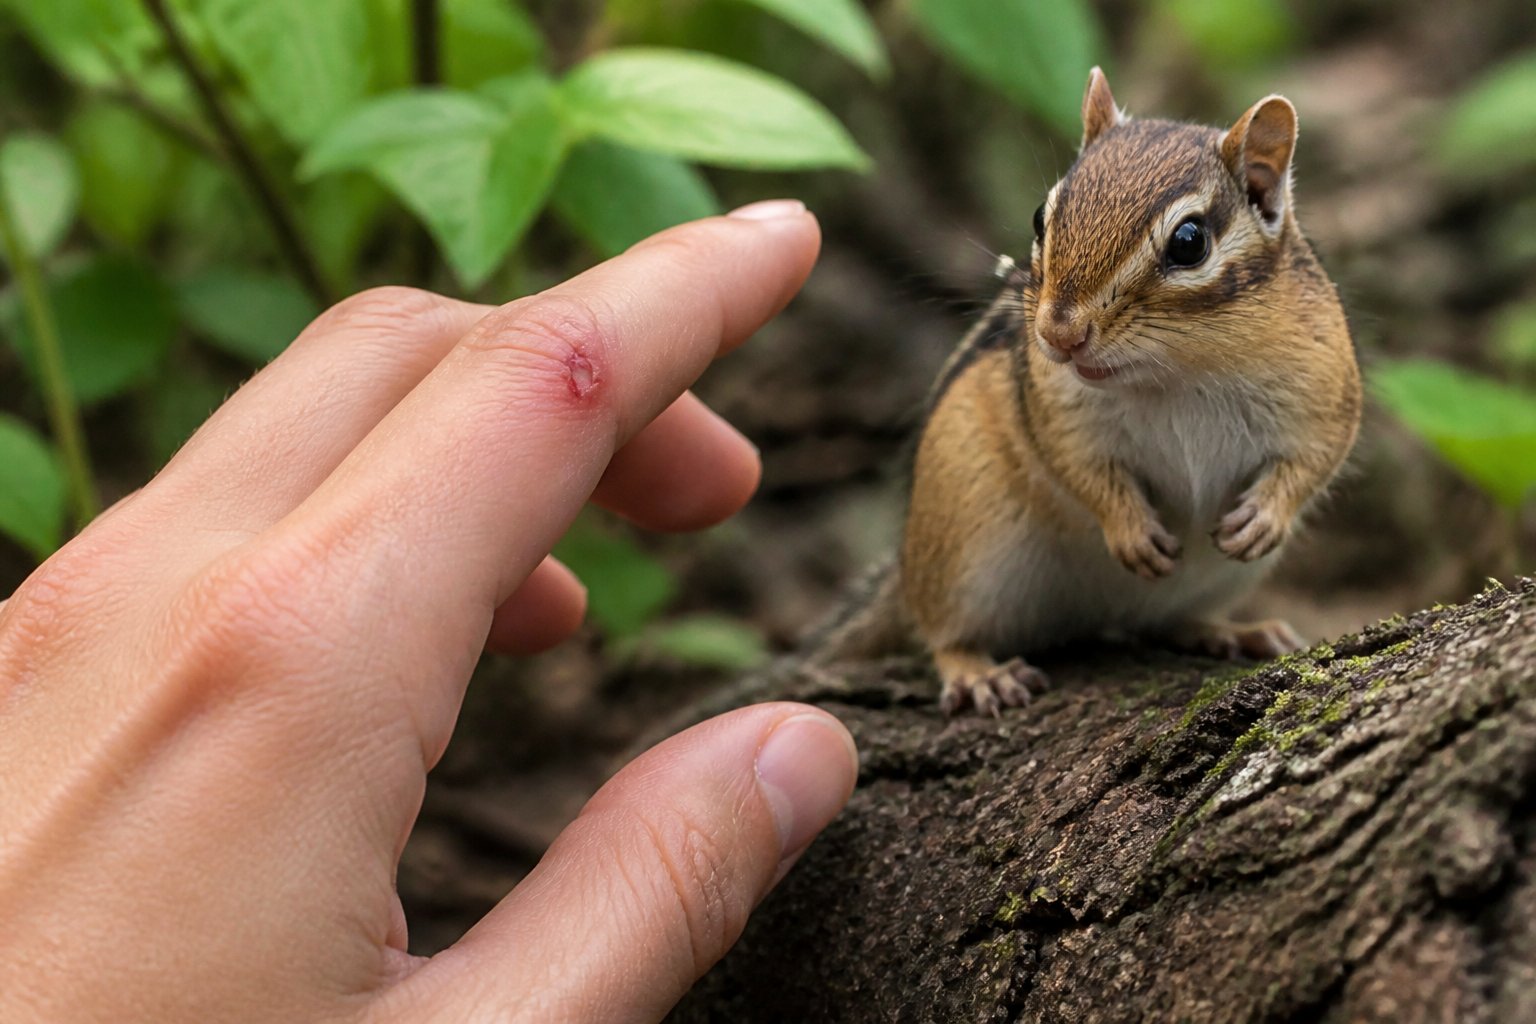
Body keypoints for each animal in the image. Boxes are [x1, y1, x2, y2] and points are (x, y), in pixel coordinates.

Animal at [807, 68, 1362, 716]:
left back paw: (1234, 631)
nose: (1058, 333)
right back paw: (977, 672)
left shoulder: (1325, 387)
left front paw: (1265, 517)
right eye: (1038, 218)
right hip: (963, 545)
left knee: (1169, 622)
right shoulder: (1057, 410)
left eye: (1190, 241)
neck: (1179, 372)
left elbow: (1316, 457)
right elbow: (1080, 467)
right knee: (942, 632)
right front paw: (1130, 529)